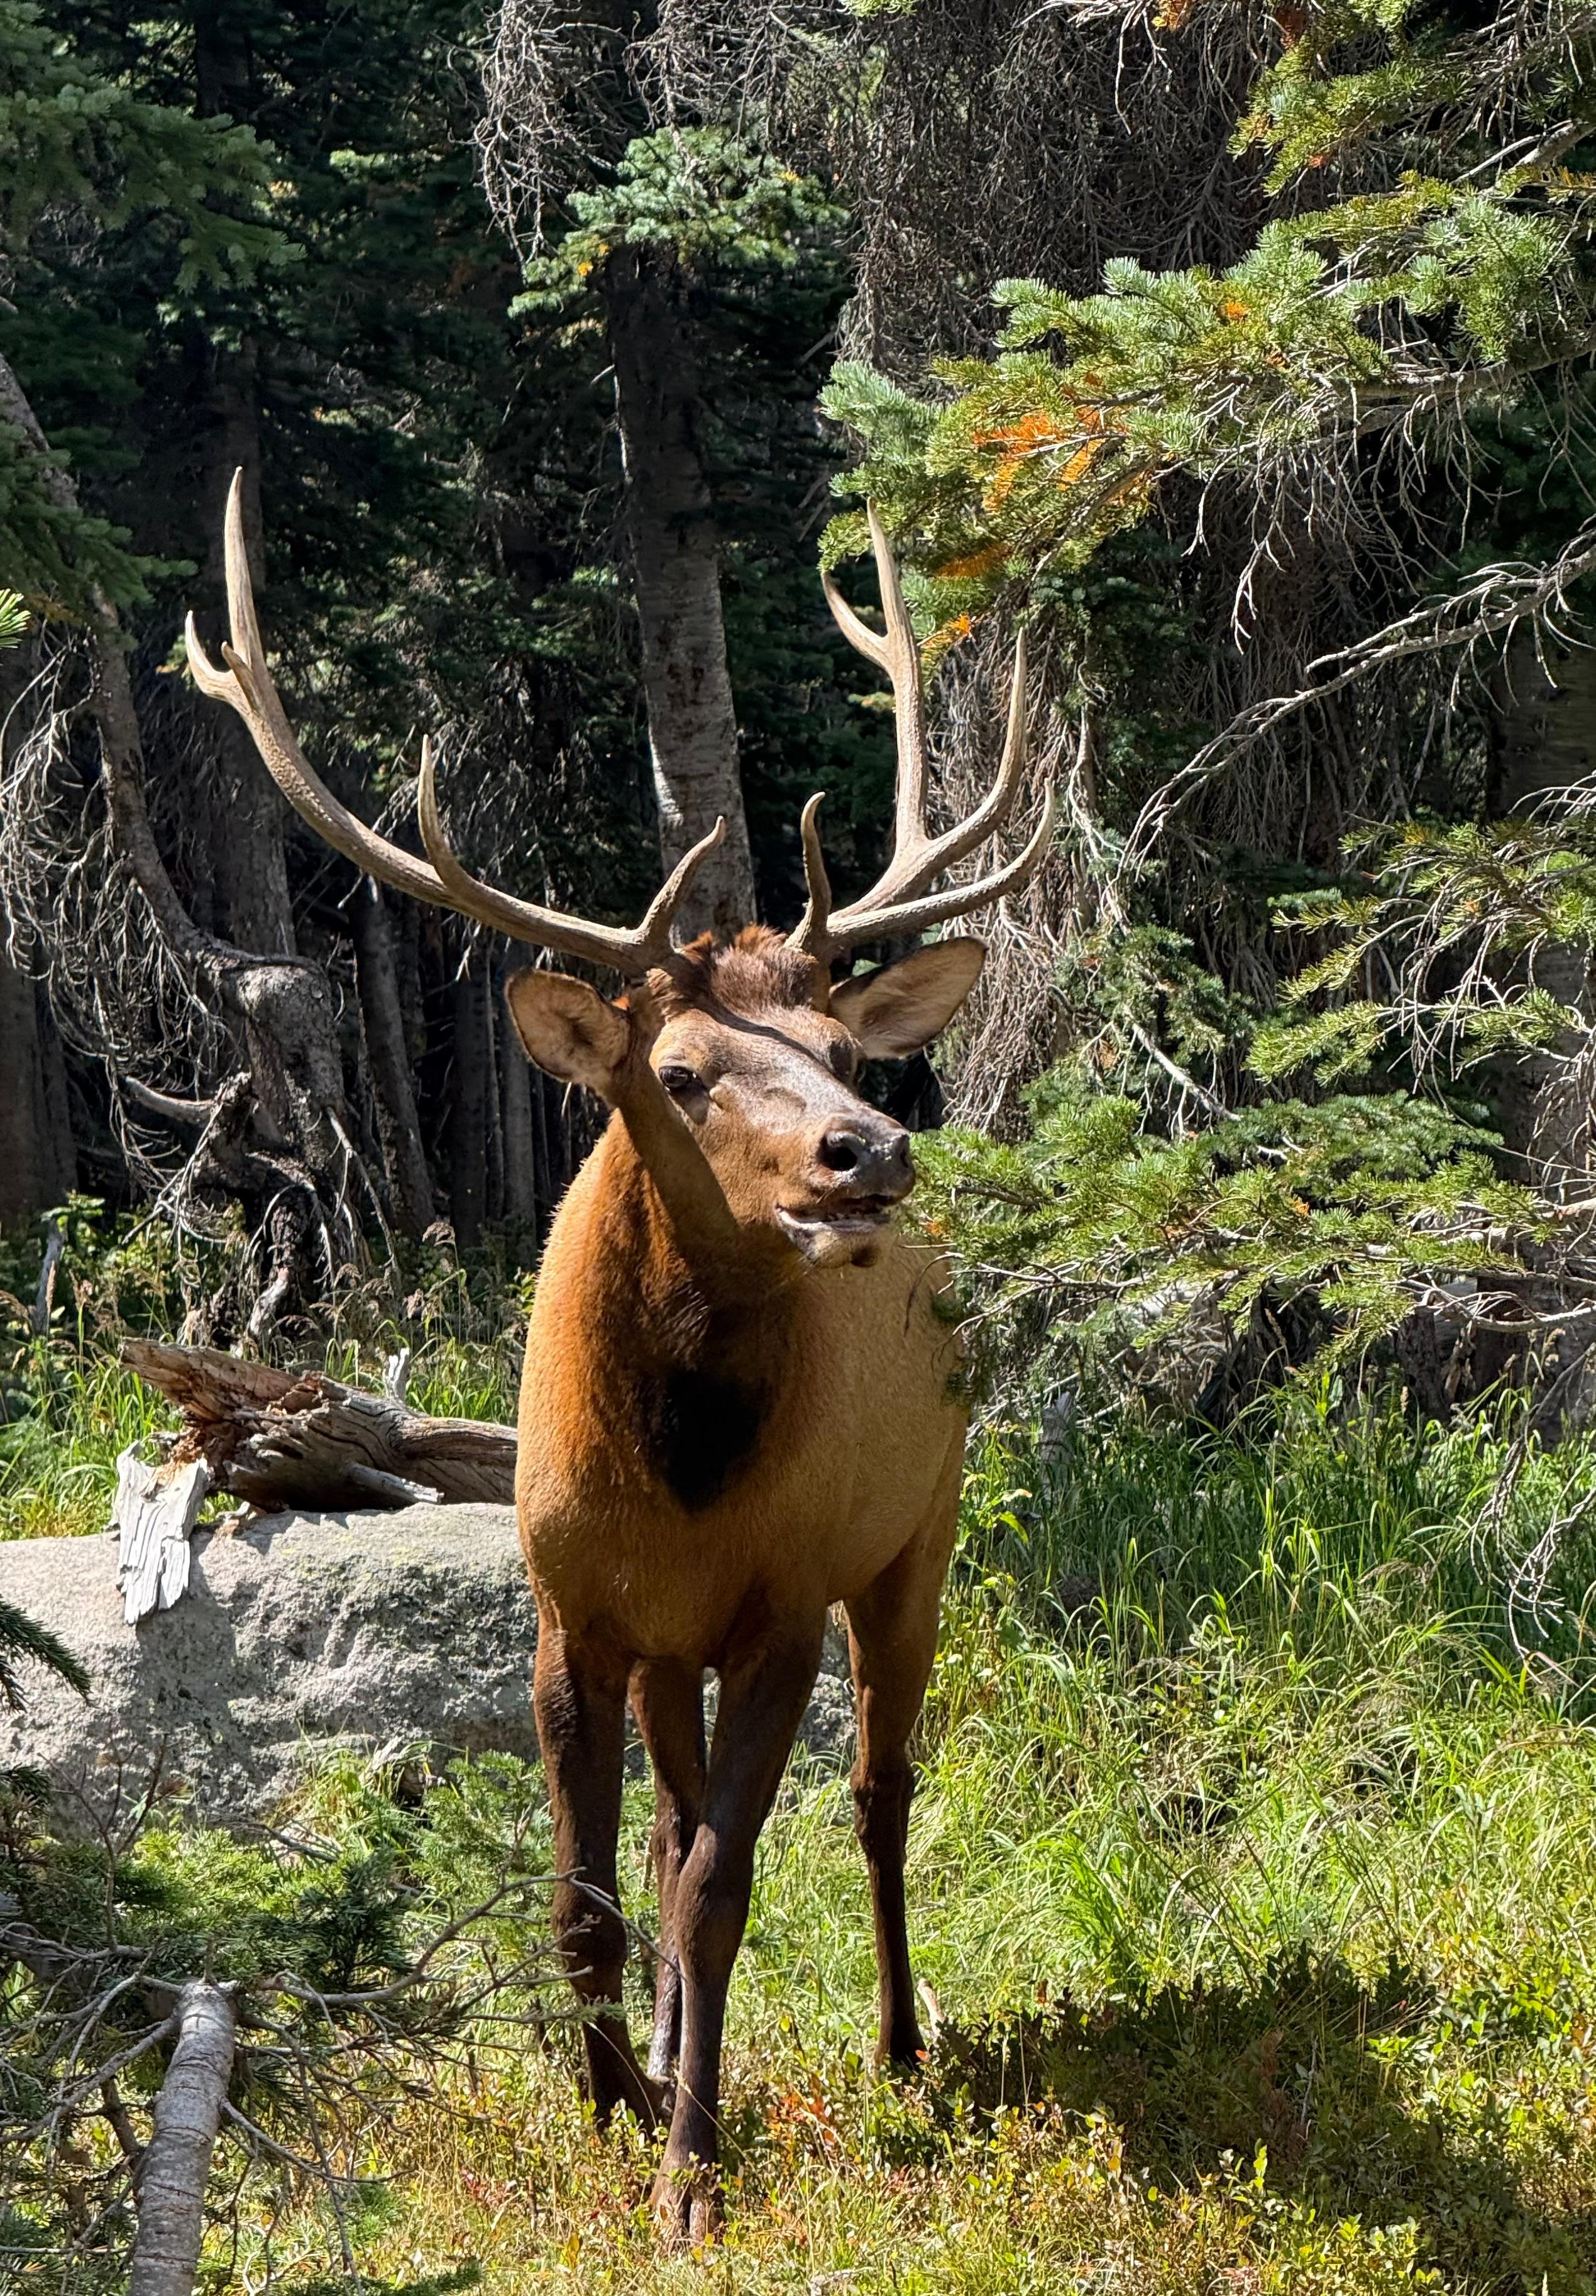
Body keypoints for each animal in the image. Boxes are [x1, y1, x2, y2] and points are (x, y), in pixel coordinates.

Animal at [186, 475, 1055, 2242]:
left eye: (839, 1042)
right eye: (681, 1067)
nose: (869, 1150)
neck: (676, 1470)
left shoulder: (782, 1598)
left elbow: (720, 1884)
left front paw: (689, 2167)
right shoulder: (571, 1607)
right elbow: (589, 1895)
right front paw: (615, 2094)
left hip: (914, 1540)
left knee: (879, 1797)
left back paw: (901, 2047)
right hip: (675, 1645)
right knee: (666, 1819)